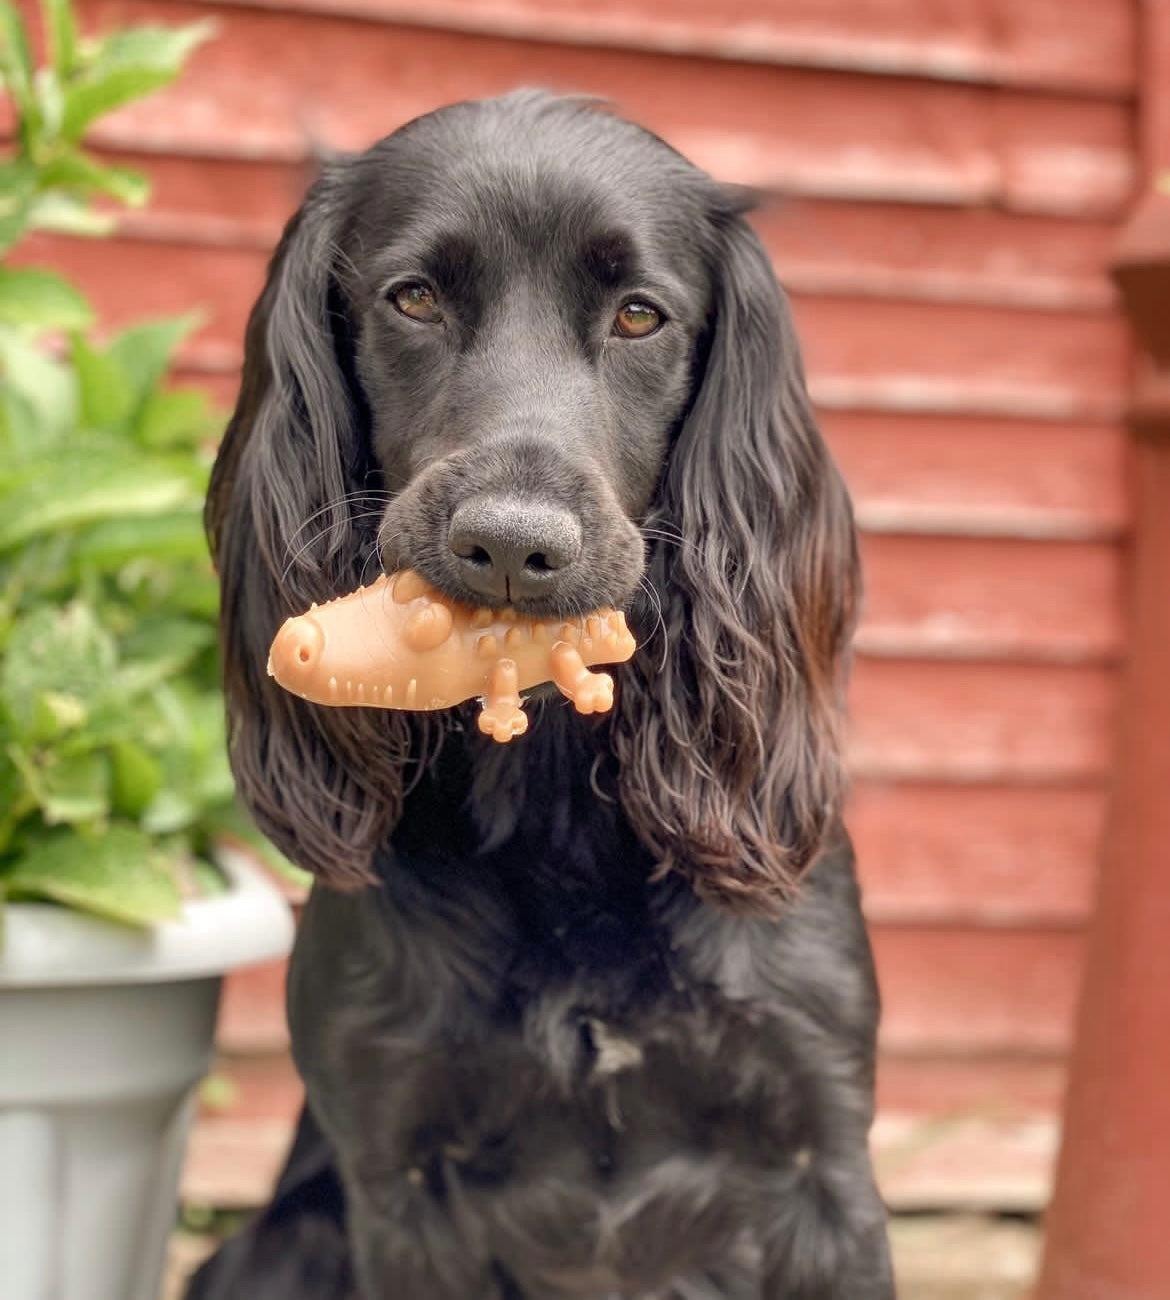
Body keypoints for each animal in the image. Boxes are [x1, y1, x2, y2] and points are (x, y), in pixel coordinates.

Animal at [187, 94, 889, 1300]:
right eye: (414, 298)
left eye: (641, 316)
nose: (512, 546)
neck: (558, 806)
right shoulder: (400, 1177)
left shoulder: (821, 1162)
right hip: (274, 1244)